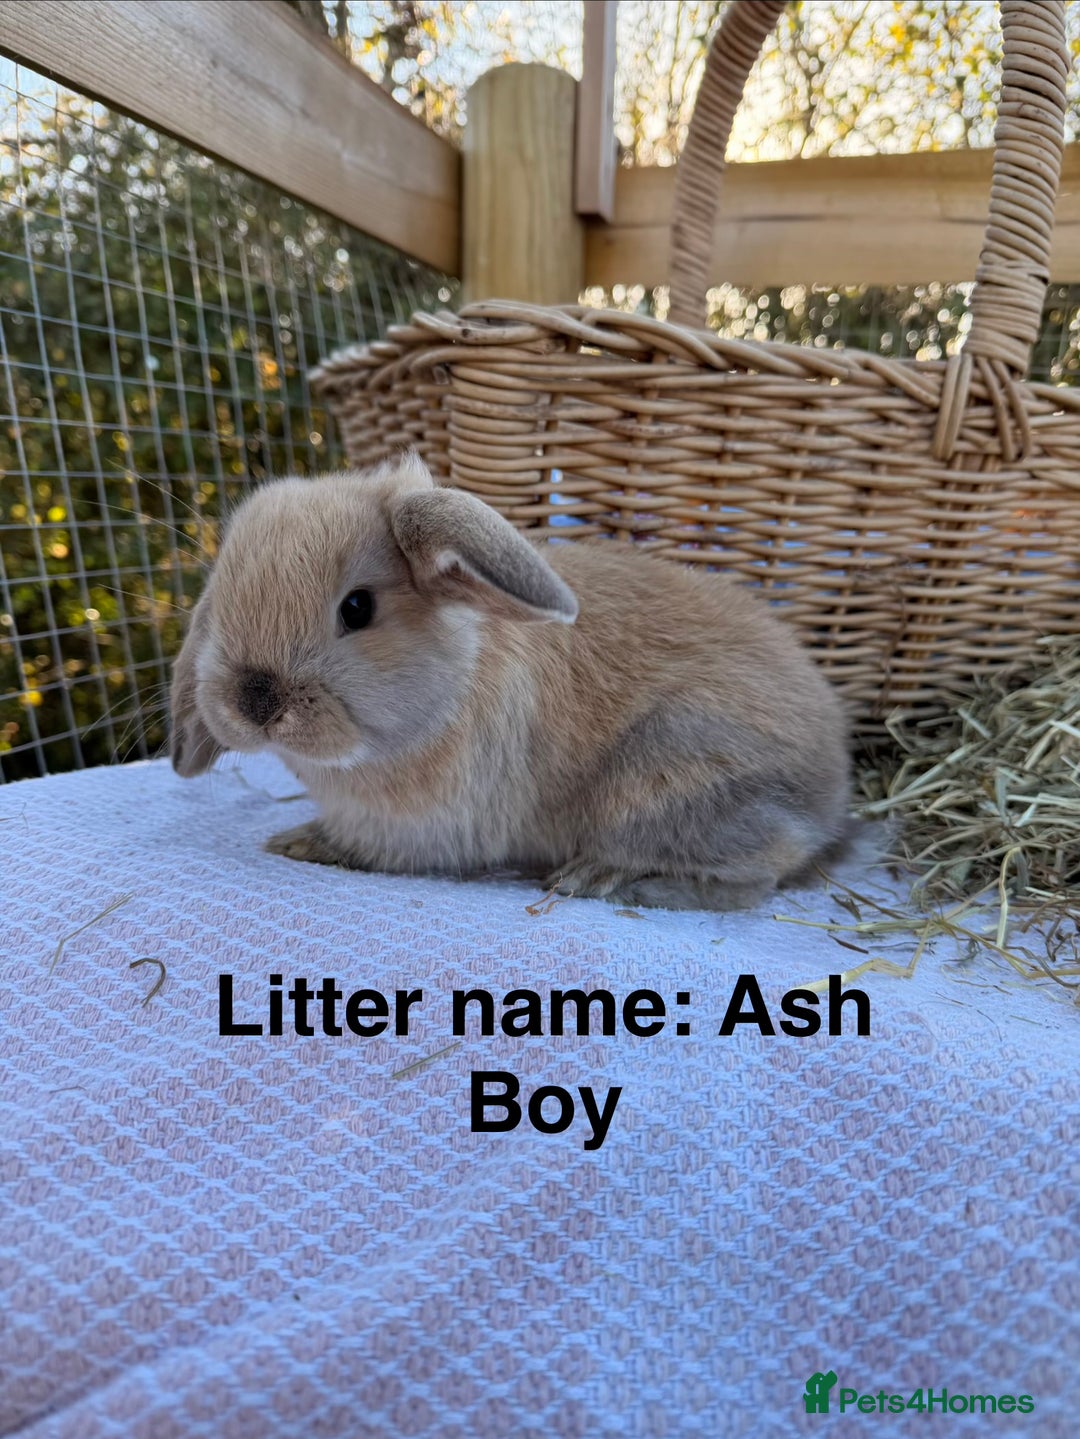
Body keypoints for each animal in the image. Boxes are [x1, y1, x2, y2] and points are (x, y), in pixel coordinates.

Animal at [170, 453, 851, 910]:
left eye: (357, 608)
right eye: (221, 601)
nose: (254, 701)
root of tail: (832, 793)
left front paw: (298, 842)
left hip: (666, 783)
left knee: (757, 876)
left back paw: (605, 880)